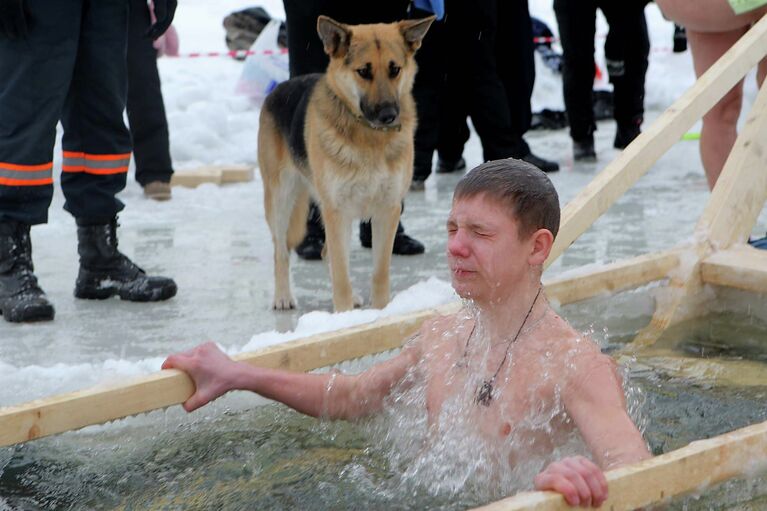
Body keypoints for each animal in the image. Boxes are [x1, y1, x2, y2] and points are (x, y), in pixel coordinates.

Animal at [258, 16, 436, 312]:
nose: (389, 115)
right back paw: (283, 296)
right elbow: (340, 276)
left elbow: (379, 272)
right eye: (363, 71)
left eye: (395, 70)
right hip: (281, 200)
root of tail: (281, 86)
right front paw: (342, 316)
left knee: (327, 252)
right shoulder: (337, 211)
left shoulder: (387, 211)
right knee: (281, 251)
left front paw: (380, 313)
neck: (369, 139)